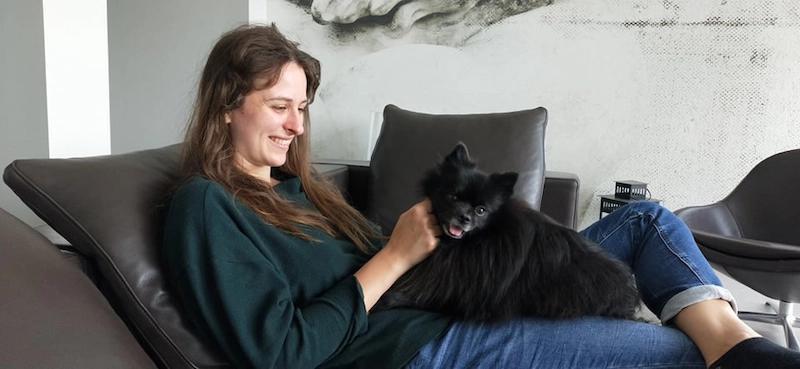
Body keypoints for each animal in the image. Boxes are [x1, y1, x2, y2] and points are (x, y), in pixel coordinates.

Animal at [374, 142, 636, 320]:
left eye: (481, 210)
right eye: (453, 196)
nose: (465, 217)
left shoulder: (462, 295)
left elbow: (421, 295)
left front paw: (387, 299)